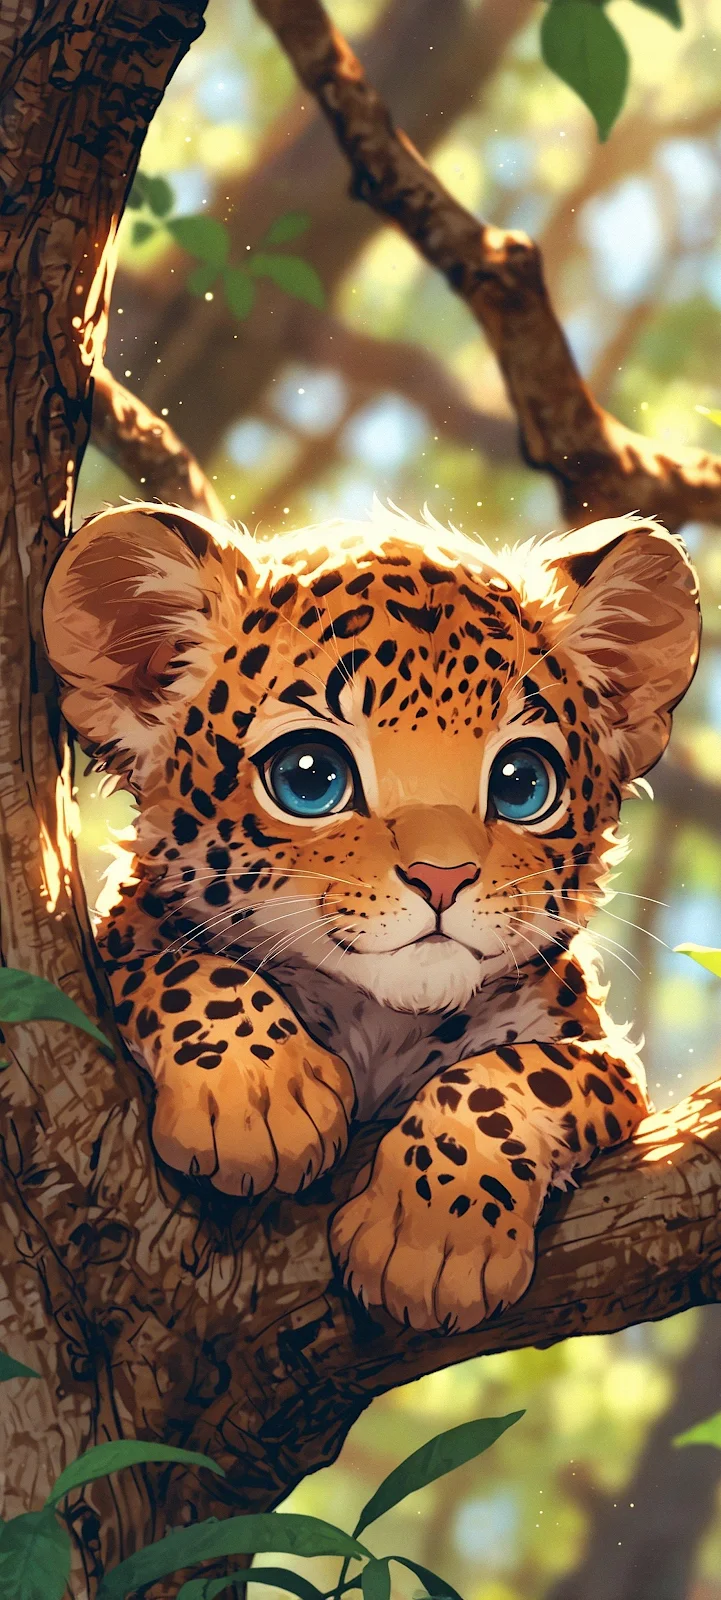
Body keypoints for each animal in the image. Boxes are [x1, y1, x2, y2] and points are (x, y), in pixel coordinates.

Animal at [42, 499, 700, 1332]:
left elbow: (513, 1076)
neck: (377, 1019)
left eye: (521, 783)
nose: (442, 877)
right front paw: (260, 1096)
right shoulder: (106, 960)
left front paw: (434, 1240)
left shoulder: (600, 1050)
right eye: (309, 777)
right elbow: (179, 967)